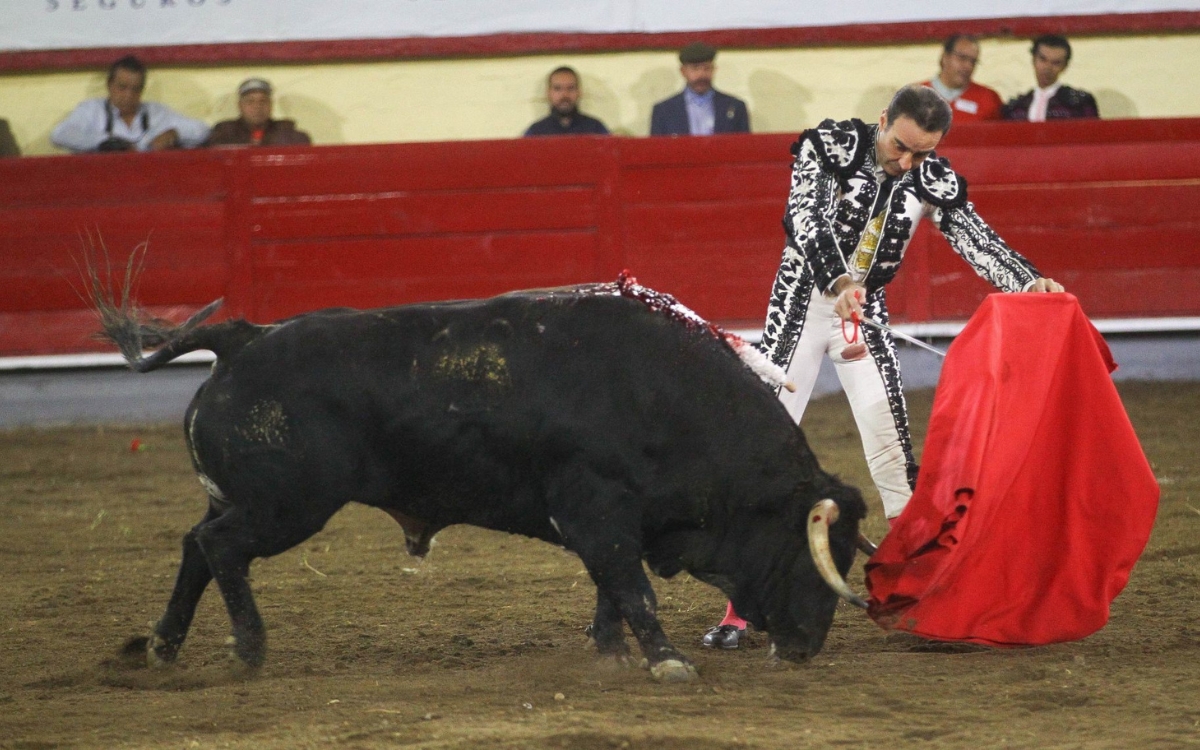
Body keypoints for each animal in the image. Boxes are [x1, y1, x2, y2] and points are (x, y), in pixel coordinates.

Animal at [96, 279, 864, 676]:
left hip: (247, 500)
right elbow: (631, 586)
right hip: (287, 505)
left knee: (196, 546)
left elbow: (611, 588)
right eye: (811, 554)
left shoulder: (613, 519)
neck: (664, 400)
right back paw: (250, 650)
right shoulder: (598, 508)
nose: (807, 647)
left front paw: (609, 651)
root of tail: (245, 339)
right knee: (221, 547)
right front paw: (666, 660)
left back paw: (161, 645)